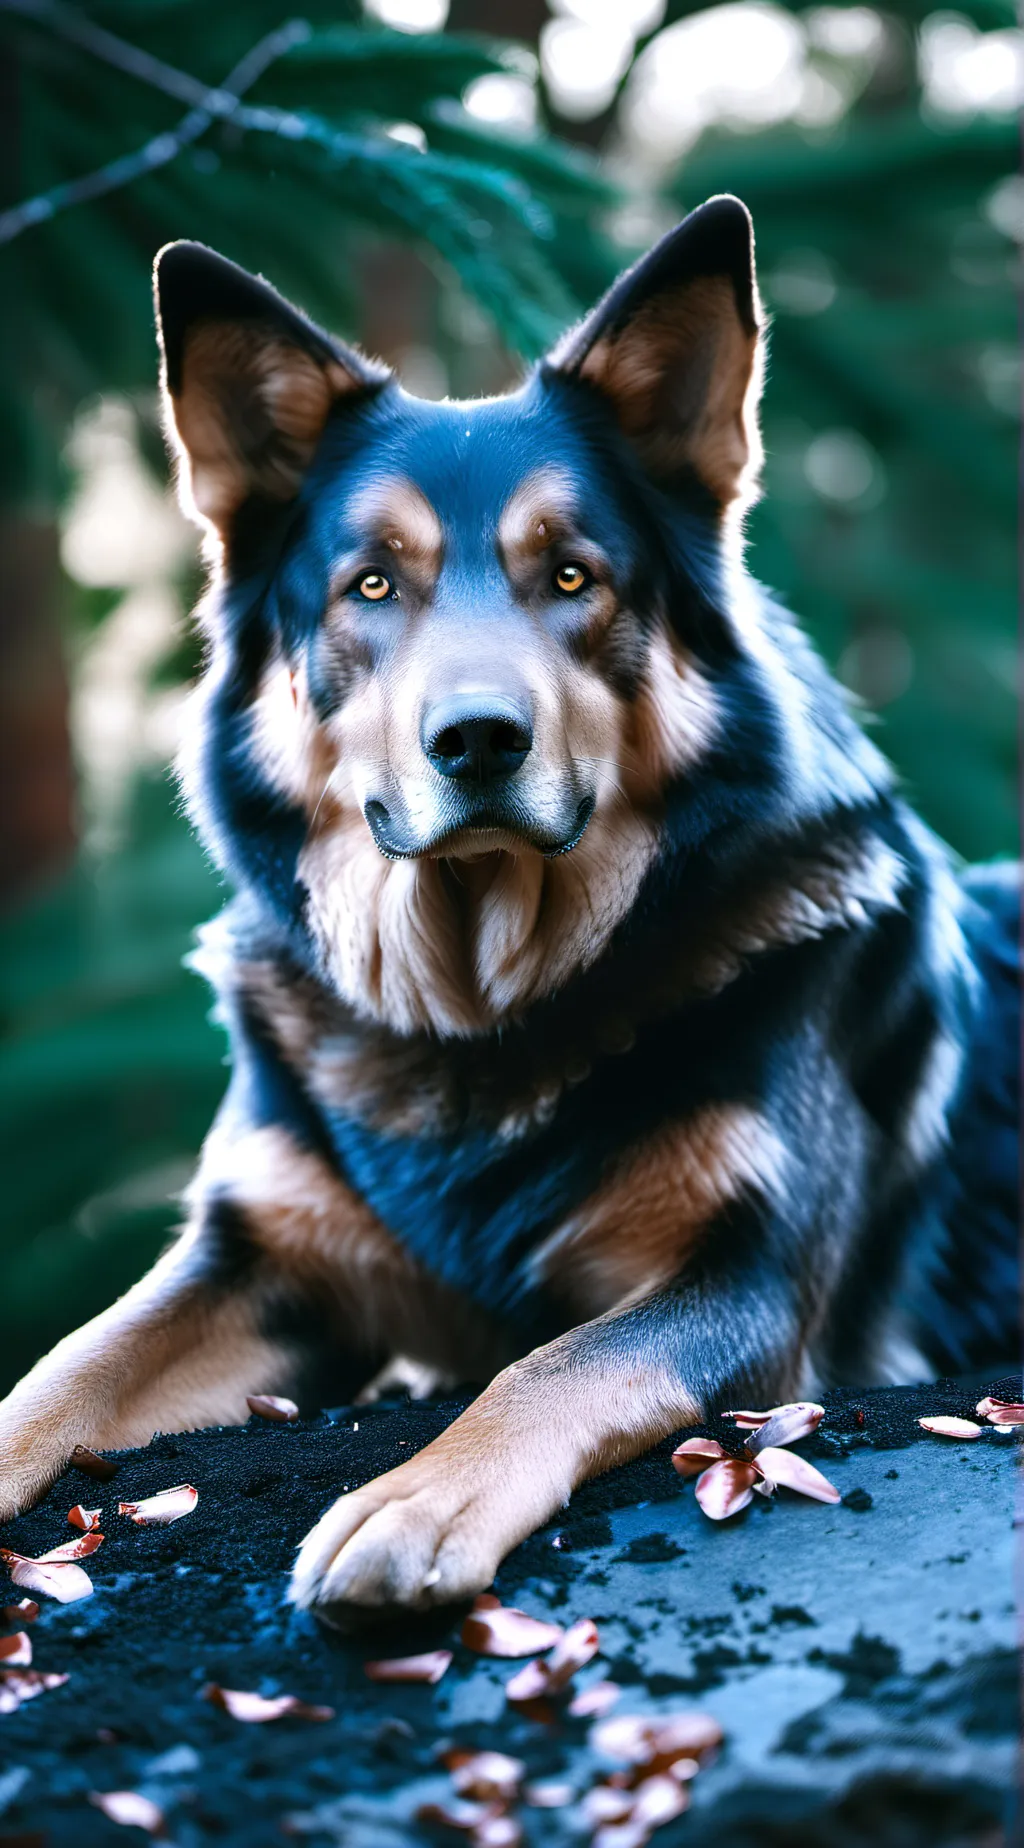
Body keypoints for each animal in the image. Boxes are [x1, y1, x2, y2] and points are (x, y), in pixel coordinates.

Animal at [0, 197, 1017, 1623]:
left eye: (575, 577)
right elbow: (62, 1367)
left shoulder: (753, 1286)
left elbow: (551, 1362)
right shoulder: (259, 1267)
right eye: (370, 586)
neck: (479, 1002)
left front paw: (413, 1499)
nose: (477, 739)